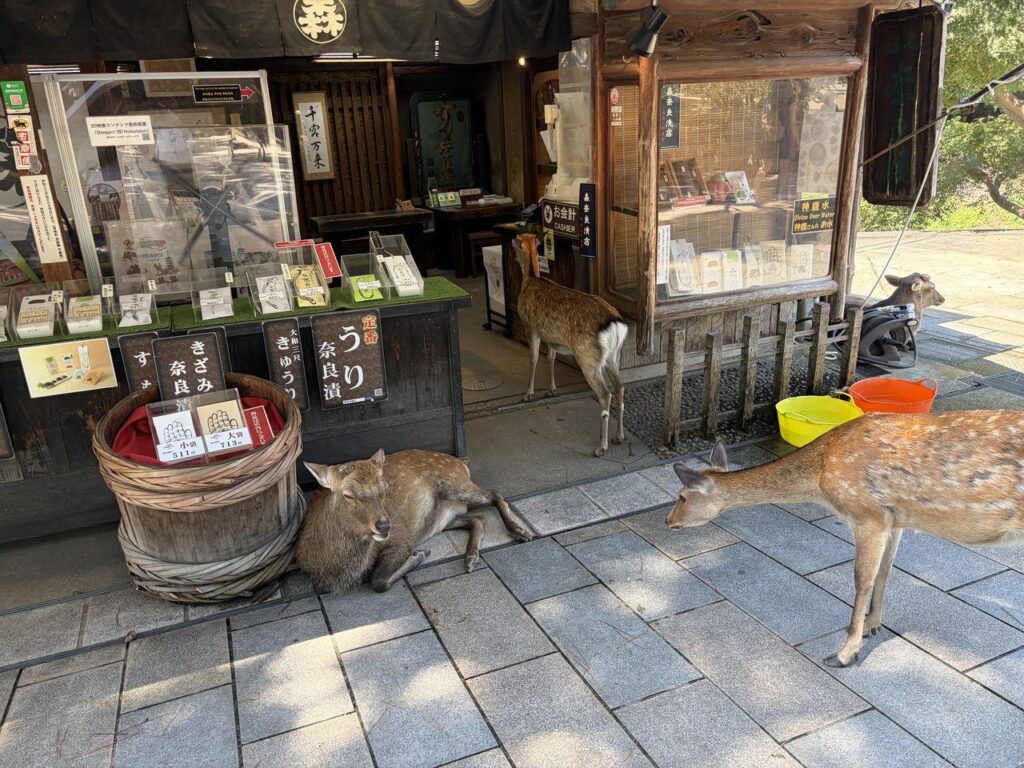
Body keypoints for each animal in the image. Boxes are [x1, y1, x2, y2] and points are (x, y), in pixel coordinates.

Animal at [296, 449, 532, 593]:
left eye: (384, 489)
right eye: (348, 495)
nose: (384, 525)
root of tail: (461, 463)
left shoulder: (401, 538)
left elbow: (378, 580)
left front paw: (419, 555)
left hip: (457, 485)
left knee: (494, 494)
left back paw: (520, 531)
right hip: (442, 519)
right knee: (478, 518)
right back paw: (471, 557)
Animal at [516, 232, 629, 456]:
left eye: (515, 242)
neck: (529, 280)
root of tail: (615, 324)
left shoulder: (531, 328)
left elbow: (533, 359)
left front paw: (528, 394)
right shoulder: (552, 338)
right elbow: (550, 358)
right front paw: (551, 389)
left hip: (587, 357)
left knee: (605, 393)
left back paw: (601, 447)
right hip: (614, 356)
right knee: (620, 387)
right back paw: (619, 436)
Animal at [666, 411, 1024, 668]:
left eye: (682, 497)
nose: (668, 520)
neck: (821, 476)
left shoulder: (867, 514)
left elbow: (861, 579)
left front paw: (845, 651)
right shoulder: (896, 519)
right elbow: (885, 572)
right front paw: (872, 625)